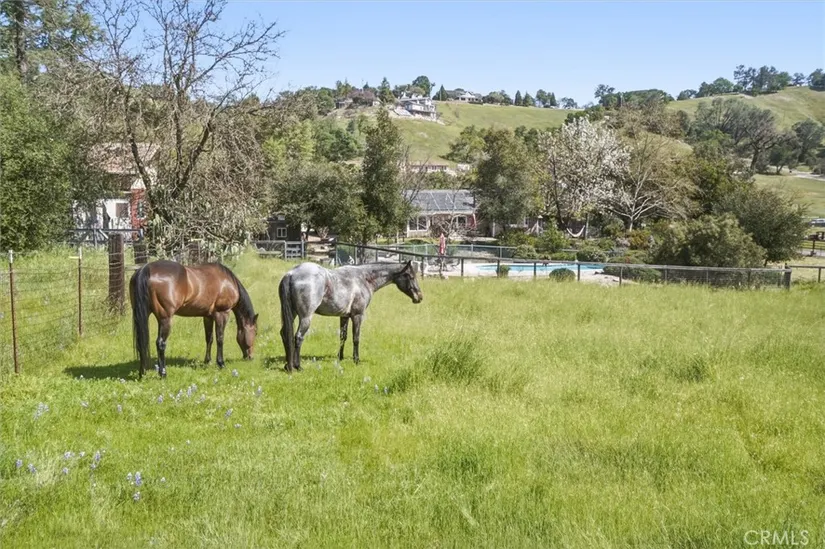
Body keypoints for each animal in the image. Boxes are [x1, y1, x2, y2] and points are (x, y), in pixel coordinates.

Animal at [129, 259, 258, 379]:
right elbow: (220, 339)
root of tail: (146, 268)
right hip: (165, 319)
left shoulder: (208, 316)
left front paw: (207, 361)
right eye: (256, 333)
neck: (227, 282)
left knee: (141, 343)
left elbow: (209, 339)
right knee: (160, 343)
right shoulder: (222, 313)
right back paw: (163, 373)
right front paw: (221, 363)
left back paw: (142, 373)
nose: (250, 357)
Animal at [278, 260, 423, 372]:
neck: (363, 278)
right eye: (410, 276)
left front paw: (340, 357)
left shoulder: (344, 316)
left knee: (285, 334)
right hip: (306, 317)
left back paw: (287, 365)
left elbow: (343, 337)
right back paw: (297, 366)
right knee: (298, 337)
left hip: (293, 314)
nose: (419, 297)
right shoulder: (357, 315)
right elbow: (356, 338)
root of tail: (291, 274)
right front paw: (356, 360)